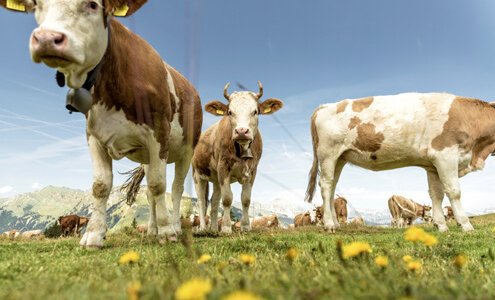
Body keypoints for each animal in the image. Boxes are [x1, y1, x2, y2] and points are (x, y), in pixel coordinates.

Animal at [1, 0, 203, 248]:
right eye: (36, 5)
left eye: (92, 5)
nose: (47, 38)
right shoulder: (93, 136)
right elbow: (101, 185)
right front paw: (94, 235)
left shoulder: (158, 132)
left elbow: (158, 184)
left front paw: (167, 233)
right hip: (146, 157)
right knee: (150, 193)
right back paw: (152, 230)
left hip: (186, 150)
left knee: (175, 189)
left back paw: (173, 227)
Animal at [192, 82, 282, 234]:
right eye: (230, 112)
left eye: (255, 111)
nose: (241, 131)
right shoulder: (223, 166)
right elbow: (227, 199)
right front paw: (226, 228)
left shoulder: (252, 170)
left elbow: (245, 199)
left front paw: (245, 226)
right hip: (197, 175)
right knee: (201, 202)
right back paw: (204, 228)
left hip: (216, 179)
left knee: (214, 201)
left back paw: (214, 228)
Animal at [306, 92, 495, 233]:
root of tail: (325, 106)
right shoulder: (445, 156)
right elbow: (454, 191)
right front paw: (466, 225)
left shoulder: (433, 165)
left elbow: (436, 195)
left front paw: (441, 226)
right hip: (328, 154)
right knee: (325, 185)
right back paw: (329, 225)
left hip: (340, 158)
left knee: (332, 187)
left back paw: (336, 224)